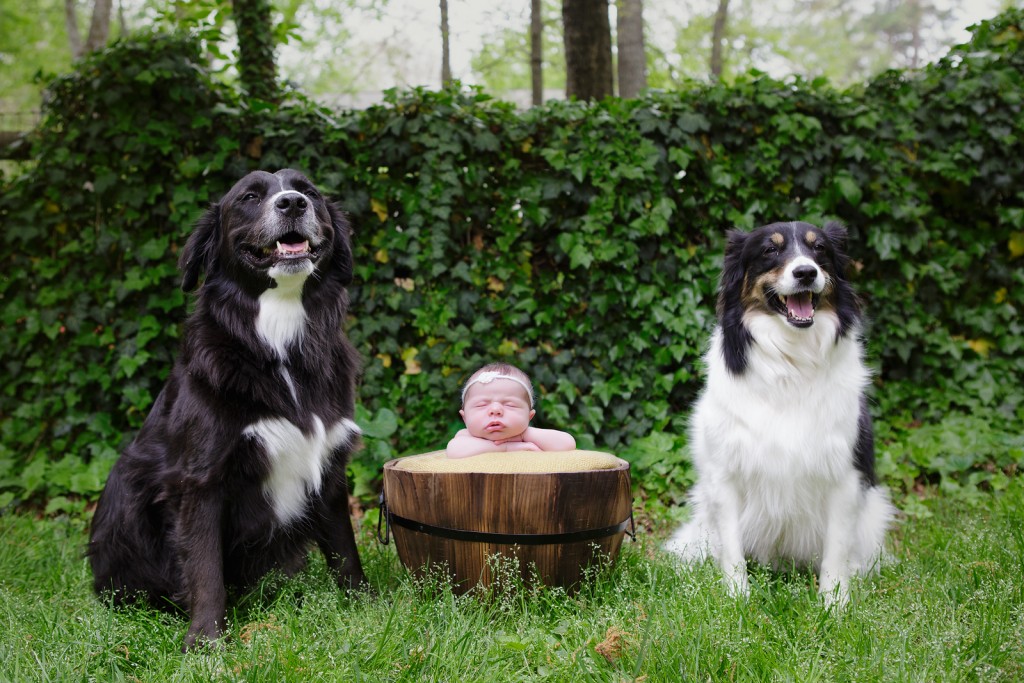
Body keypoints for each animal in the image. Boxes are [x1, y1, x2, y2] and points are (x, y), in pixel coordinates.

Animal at [89, 167, 368, 651]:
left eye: (308, 191)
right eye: (249, 197)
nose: (292, 203)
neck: (278, 332)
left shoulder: (330, 467)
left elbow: (343, 547)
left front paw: (367, 605)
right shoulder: (201, 479)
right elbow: (205, 568)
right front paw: (204, 641)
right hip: (124, 486)